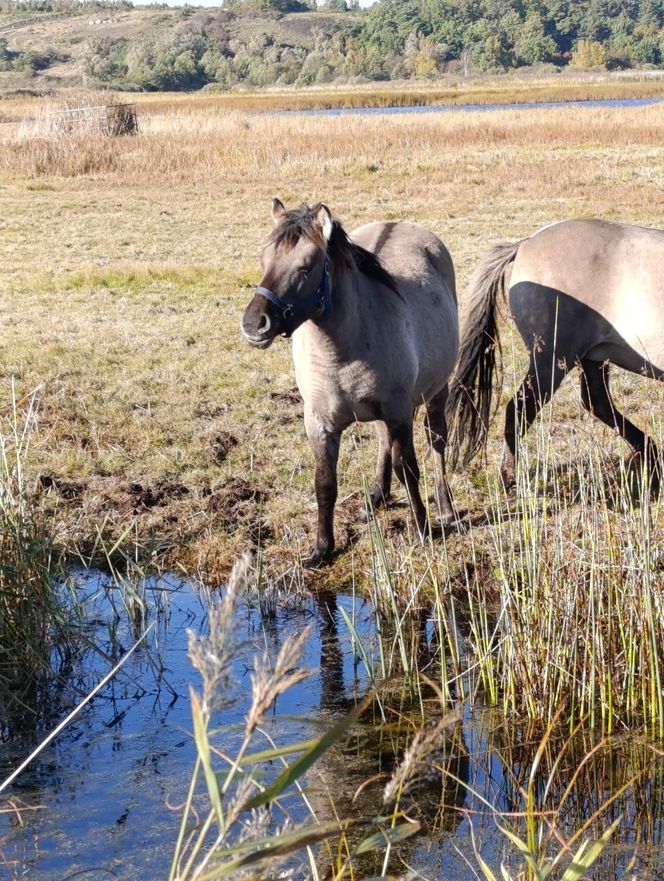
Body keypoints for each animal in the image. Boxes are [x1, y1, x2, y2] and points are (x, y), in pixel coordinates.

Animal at [241, 199, 460, 564]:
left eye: (306, 267)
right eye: (264, 259)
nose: (254, 323)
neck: (341, 351)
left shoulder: (399, 412)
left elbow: (408, 469)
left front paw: (421, 529)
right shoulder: (319, 423)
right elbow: (325, 482)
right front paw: (321, 548)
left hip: (435, 393)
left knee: (437, 442)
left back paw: (444, 506)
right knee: (383, 441)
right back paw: (376, 496)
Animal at [446, 217, 664, 484]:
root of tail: (525, 244)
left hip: (591, 357)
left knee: (597, 403)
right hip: (552, 360)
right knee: (520, 408)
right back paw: (509, 478)